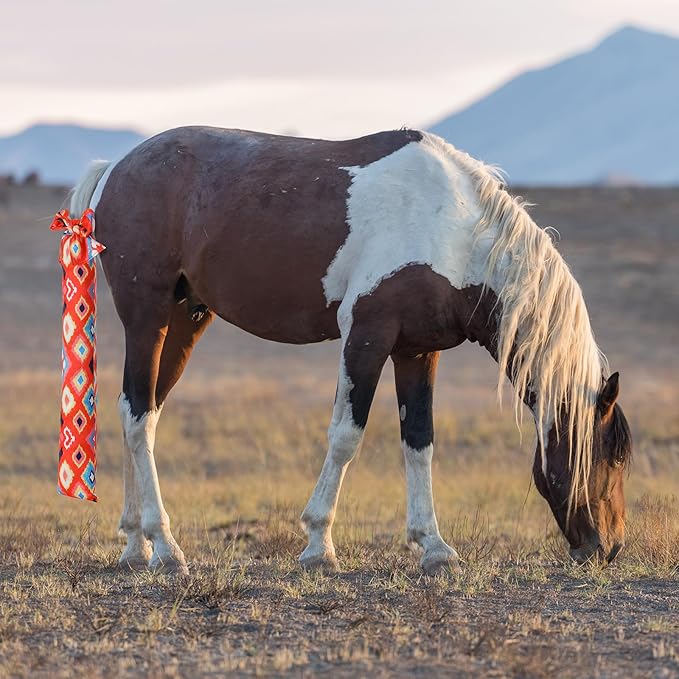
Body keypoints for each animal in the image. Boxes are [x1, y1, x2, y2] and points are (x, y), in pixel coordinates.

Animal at [69, 127, 632, 575]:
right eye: (614, 454)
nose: (609, 548)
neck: (452, 232)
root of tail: (115, 169)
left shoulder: (417, 353)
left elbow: (419, 441)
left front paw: (434, 547)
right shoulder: (366, 336)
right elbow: (346, 436)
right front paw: (319, 545)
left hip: (186, 319)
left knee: (139, 411)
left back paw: (135, 545)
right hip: (148, 315)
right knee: (138, 416)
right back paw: (165, 546)